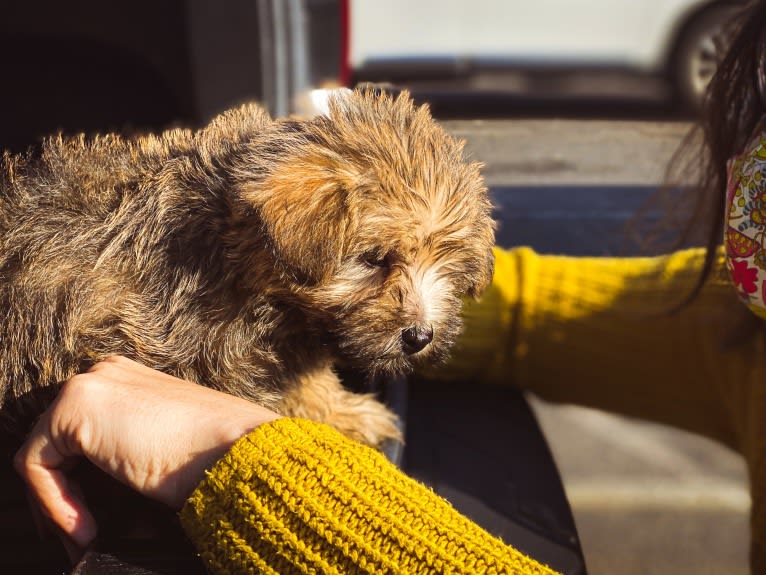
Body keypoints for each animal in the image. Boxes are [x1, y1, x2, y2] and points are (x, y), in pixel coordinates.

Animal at [0, 91, 496, 450]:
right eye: (374, 259)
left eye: (448, 267)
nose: (420, 336)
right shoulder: (208, 354)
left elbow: (309, 381)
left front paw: (344, 414)